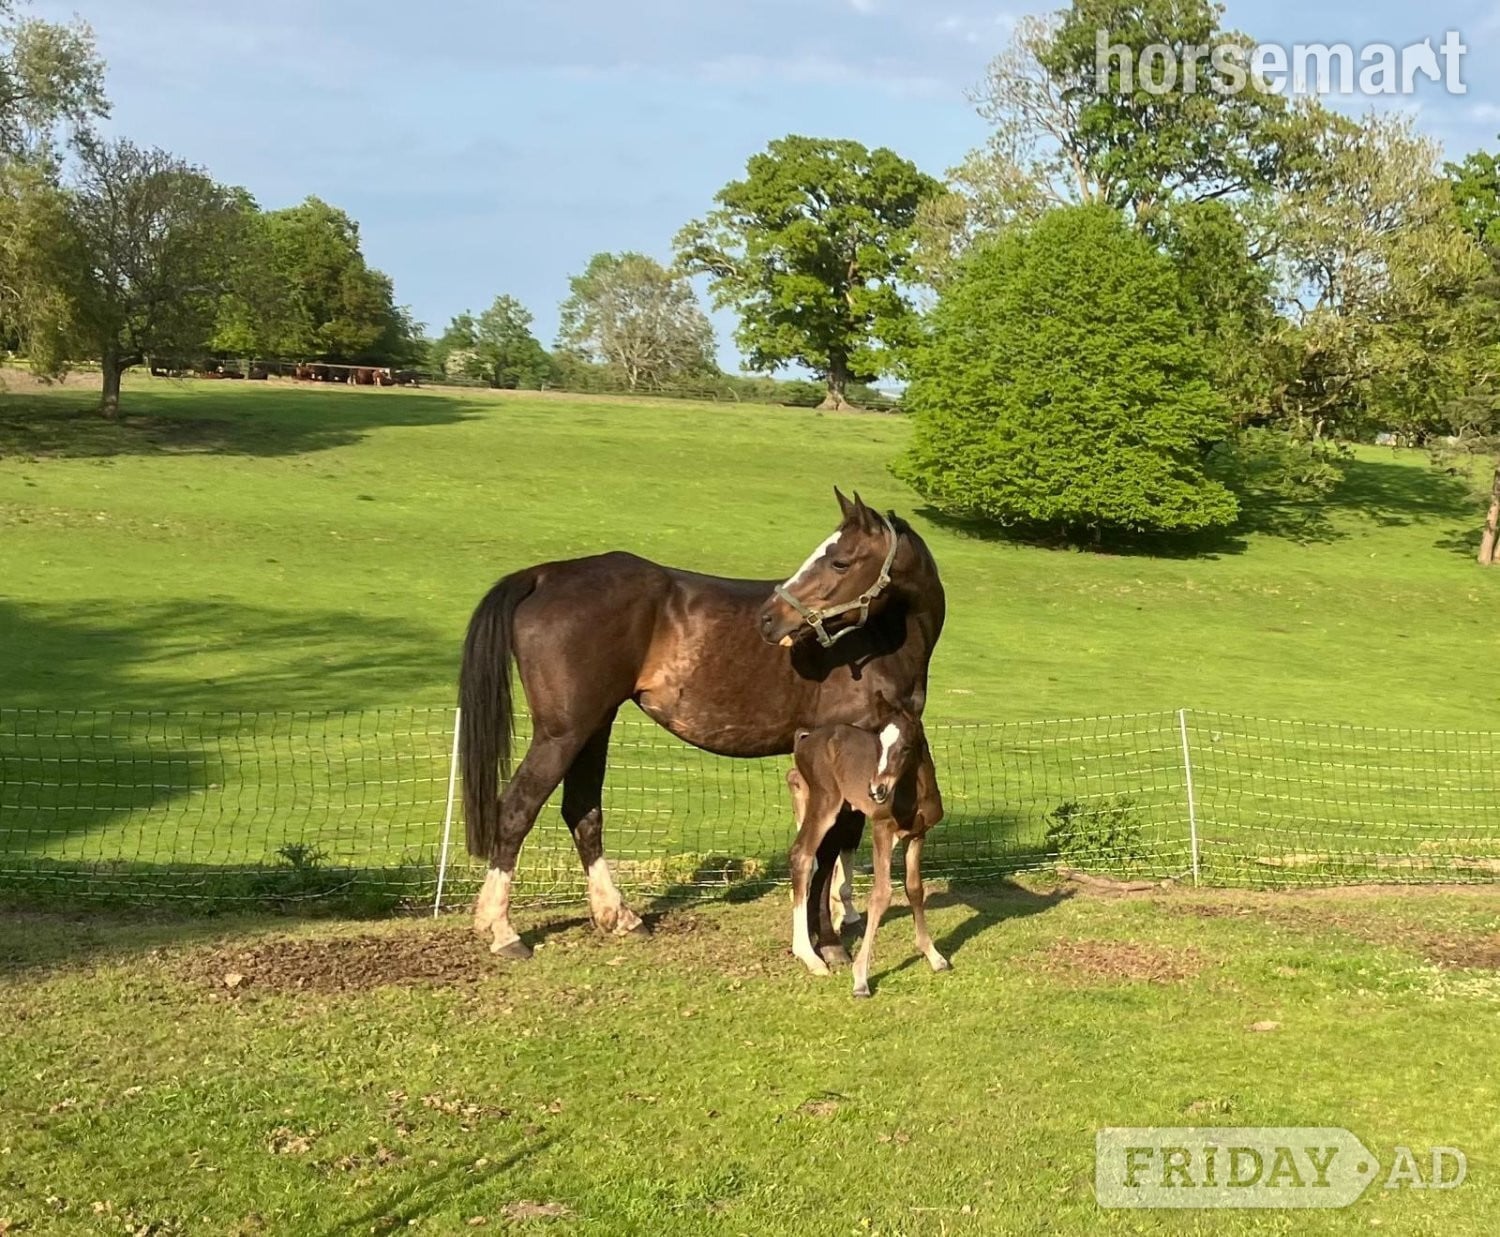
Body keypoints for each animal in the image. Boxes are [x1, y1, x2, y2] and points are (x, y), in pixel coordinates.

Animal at [458, 489, 946, 959]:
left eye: (840, 560)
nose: (770, 618)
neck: (880, 640)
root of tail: (546, 574)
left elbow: (840, 841)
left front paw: (840, 914)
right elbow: (830, 845)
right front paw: (827, 937)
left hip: (594, 727)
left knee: (583, 812)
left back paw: (619, 916)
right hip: (562, 734)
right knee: (517, 809)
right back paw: (502, 930)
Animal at [786, 701, 950, 997]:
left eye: (906, 747)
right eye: (879, 744)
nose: (876, 790)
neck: (915, 792)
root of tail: (804, 739)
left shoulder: (917, 836)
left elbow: (915, 889)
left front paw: (934, 956)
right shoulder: (881, 829)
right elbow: (881, 894)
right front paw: (860, 978)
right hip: (825, 801)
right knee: (801, 855)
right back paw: (809, 956)